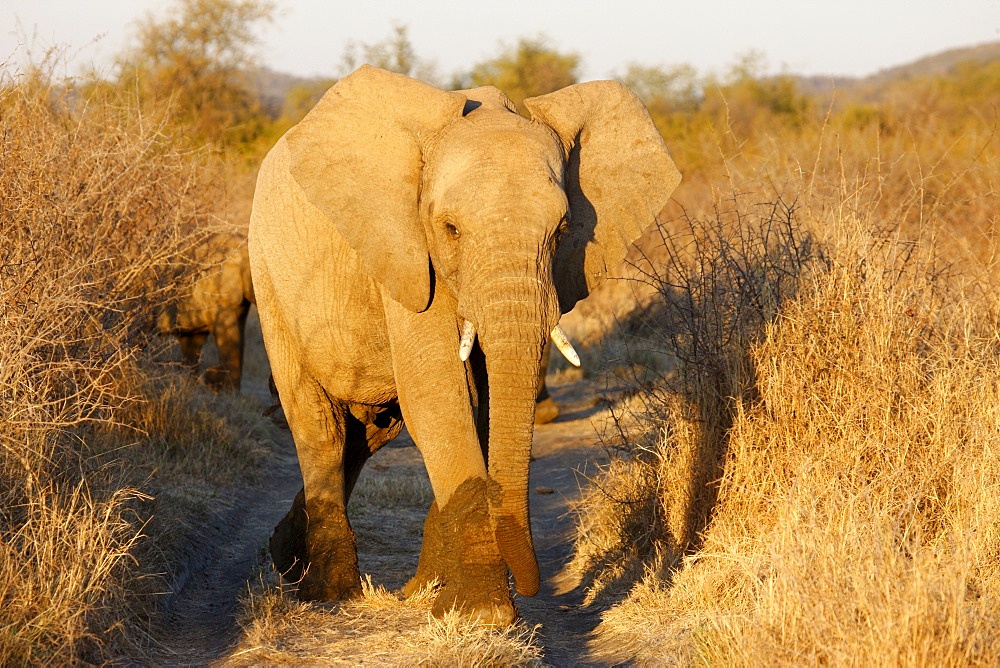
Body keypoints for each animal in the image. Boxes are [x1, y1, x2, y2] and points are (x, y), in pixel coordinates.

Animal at [249, 65, 680, 624]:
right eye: (450, 229)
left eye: (564, 229)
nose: (533, 587)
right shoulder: (409, 252)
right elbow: (437, 393)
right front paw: (483, 613)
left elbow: (482, 403)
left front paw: (443, 596)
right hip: (270, 279)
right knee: (320, 428)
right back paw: (326, 591)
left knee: (368, 435)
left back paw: (293, 559)